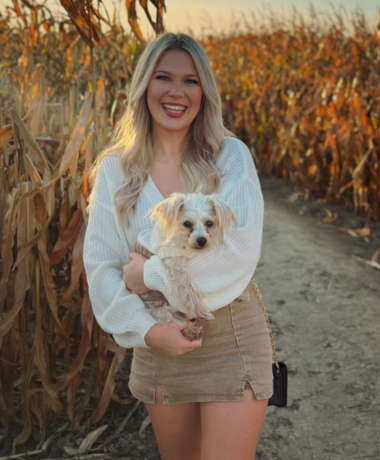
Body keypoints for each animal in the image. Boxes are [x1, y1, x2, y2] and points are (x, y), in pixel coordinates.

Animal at [134, 192, 239, 340]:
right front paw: (201, 311)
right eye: (187, 224)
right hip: (159, 307)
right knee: (169, 316)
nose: (202, 240)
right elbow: (188, 289)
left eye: (209, 223)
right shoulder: (174, 266)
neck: (183, 245)